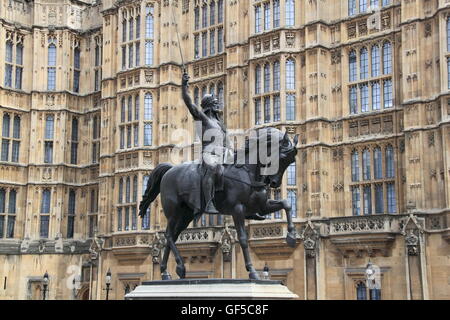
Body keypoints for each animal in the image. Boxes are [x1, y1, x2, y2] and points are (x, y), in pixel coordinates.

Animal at [139, 127, 298, 280]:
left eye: (291, 161)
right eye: (283, 157)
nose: (274, 183)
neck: (248, 173)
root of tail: (170, 169)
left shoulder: (260, 207)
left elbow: (286, 204)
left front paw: (291, 236)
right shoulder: (237, 209)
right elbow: (243, 238)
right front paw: (252, 271)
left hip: (186, 215)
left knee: (172, 236)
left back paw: (167, 271)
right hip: (174, 212)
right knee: (168, 235)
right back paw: (179, 267)